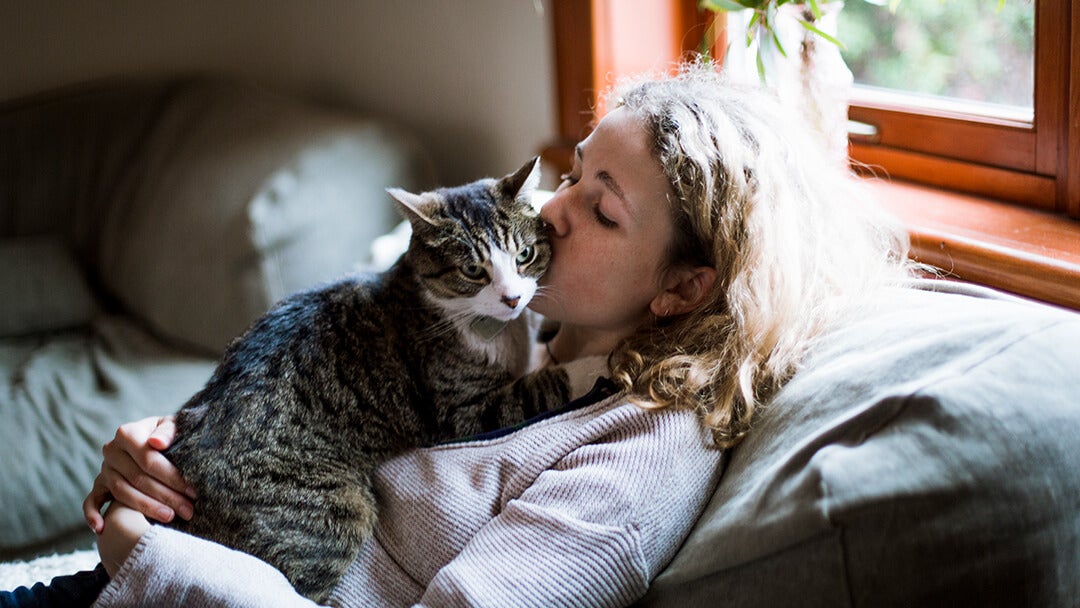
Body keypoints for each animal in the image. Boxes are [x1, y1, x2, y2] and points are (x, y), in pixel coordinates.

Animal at [162, 155, 583, 600]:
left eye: (525, 254)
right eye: (472, 269)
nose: (513, 299)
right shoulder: (463, 412)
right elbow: (541, 384)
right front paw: (599, 364)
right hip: (336, 513)